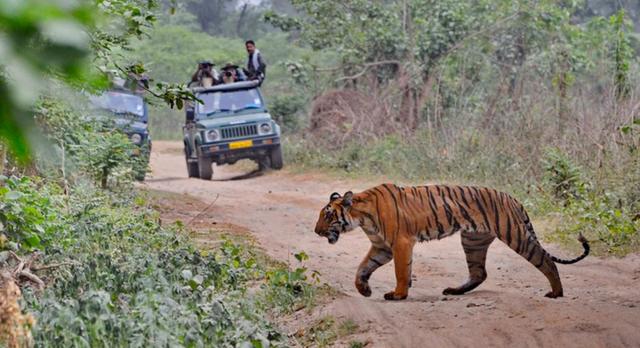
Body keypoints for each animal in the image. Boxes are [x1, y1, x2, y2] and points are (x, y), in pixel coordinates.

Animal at [312, 184, 588, 300]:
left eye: (328, 215)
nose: (316, 231)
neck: (362, 216)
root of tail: (512, 197)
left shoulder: (400, 243)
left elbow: (401, 271)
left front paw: (399, 294)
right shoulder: (381, 247)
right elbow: (363, 267)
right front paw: (364, 289)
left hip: (515, 235)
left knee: (546, 261)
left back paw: (556, 292)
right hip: (473, 241)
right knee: (479, 273)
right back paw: (454, 290)